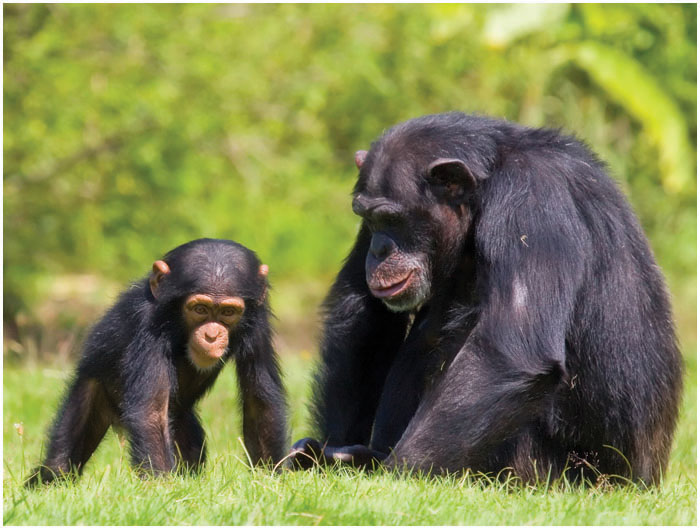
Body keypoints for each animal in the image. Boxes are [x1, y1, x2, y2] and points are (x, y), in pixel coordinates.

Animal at [28, 237, 288, 484]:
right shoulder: (146, 323)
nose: (212, 335)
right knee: (60, 462)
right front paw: (161, 485)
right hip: (91, 387)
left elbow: (259, 401)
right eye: (200, 309)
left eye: (228, 312)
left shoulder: (259, 323)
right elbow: (151, 412)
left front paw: (270, 478)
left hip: (180, 417)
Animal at [290, 113, 684, 484]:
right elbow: (365, 316)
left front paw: (397, 474)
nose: (379, 249)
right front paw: (335, 452)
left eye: (394, 218)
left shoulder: (532, 200)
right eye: (369, 218)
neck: (485, 189)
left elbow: (510, 352)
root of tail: (643, 481)